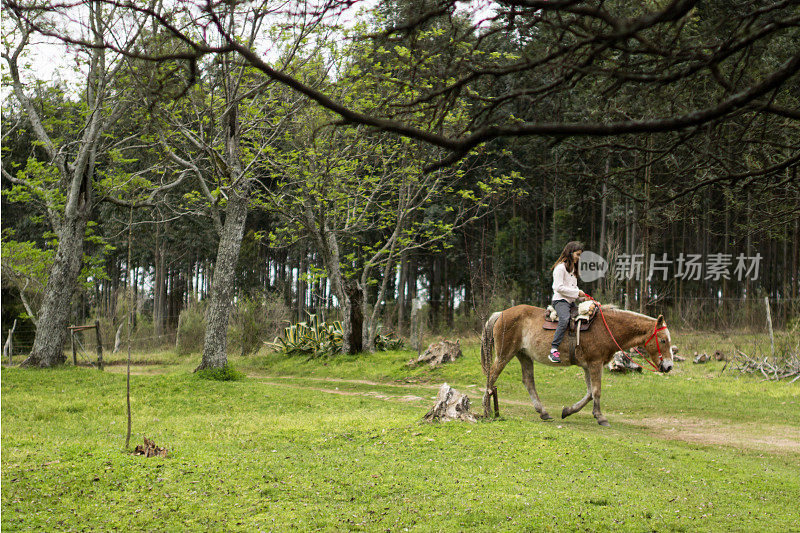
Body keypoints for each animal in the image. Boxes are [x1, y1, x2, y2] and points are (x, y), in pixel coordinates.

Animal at [482, 304, 676, 424]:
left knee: (528, 381)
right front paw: (601, 417)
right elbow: (596, 391)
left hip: (524, 355)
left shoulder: (588, 366)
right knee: (492, 376)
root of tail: (501, 313)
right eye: (663, 340)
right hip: (504, 354)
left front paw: (568, 411)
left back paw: (543, 412)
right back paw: (487, 410)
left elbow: (590, 393)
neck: (606, 328)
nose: (668, 366)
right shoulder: (595, 363)